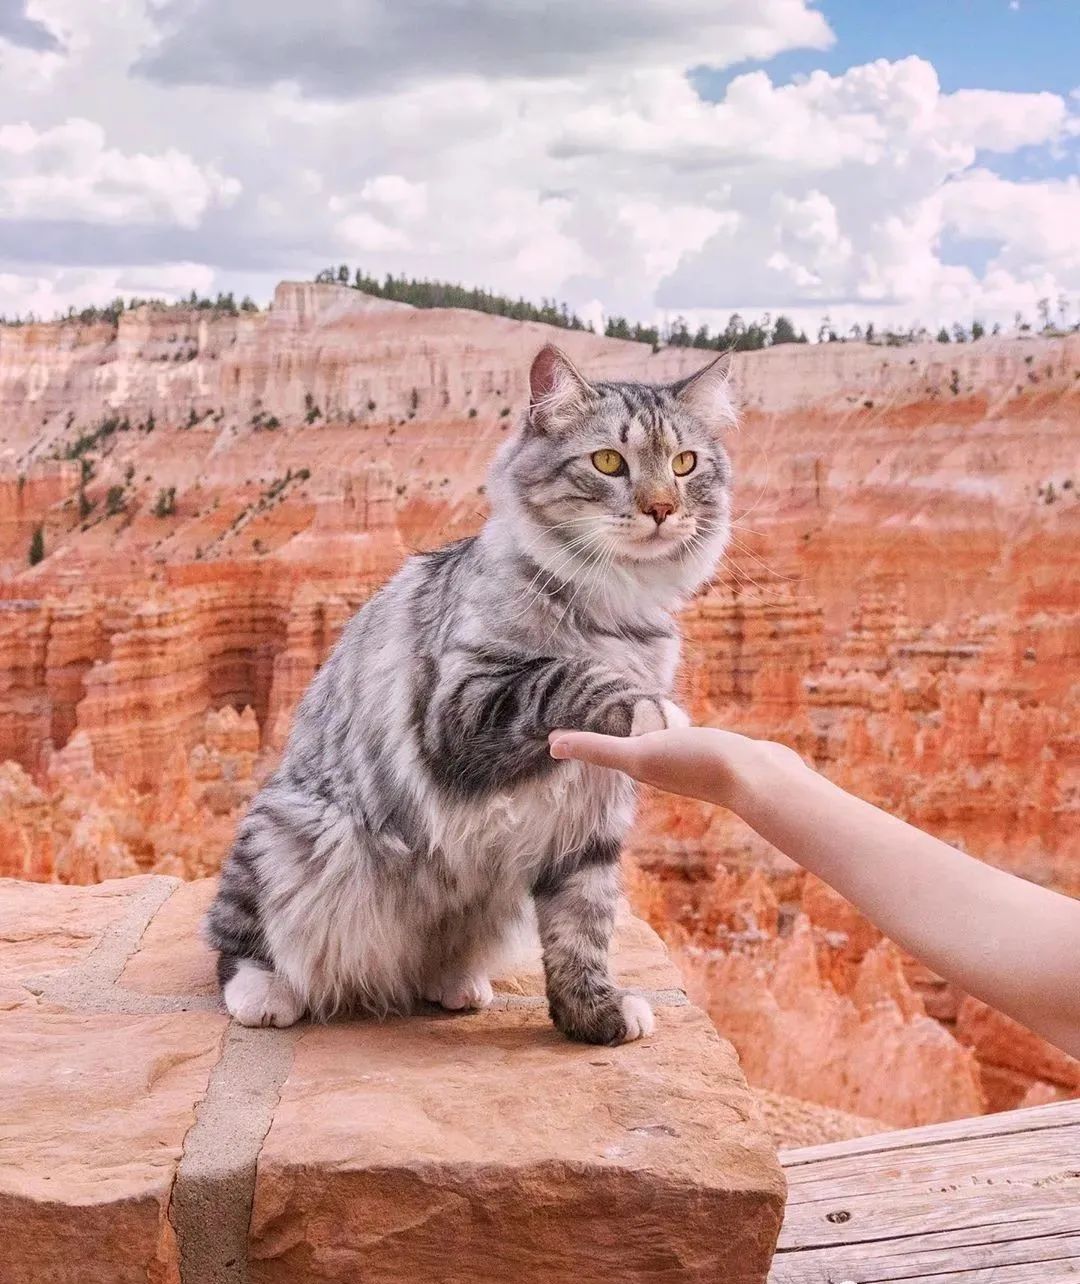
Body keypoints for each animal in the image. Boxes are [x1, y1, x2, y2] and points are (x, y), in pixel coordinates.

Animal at [202, 341, 734, 1042]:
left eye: (684, 463)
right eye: (609, 462)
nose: (661, 508)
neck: (615, 612)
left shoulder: (591, 819)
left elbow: (582, 926)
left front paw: (592, 1015)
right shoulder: (458, 706)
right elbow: (564, 674)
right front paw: (646, 706)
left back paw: (453, 983)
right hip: (298, 830)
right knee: (234, 931)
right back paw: (264, 993)